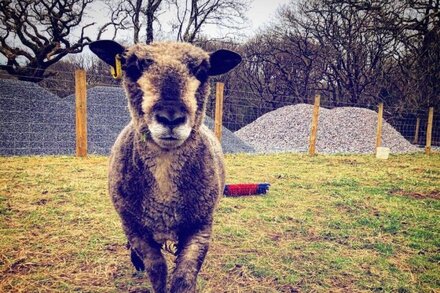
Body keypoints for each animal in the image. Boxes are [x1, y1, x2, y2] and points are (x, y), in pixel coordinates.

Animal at [89, 39, 241, 292]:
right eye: (133, 67)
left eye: (202, 71)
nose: (171, 117)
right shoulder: (135, 228)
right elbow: (157, 270)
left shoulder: (200, 227)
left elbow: (183, 278)